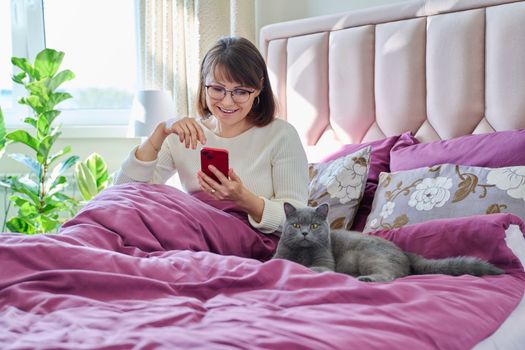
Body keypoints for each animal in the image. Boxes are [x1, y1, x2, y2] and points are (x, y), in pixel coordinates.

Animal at [272, 202, 502, 282]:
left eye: (313, 226)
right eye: (295, 225)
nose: (304, 233)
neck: (302, 252)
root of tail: (405, 253)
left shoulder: (325, 260)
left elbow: (318, 267)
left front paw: (306, 268)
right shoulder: (279, 255)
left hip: (371, 256)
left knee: (389, 275)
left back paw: (365, 279)